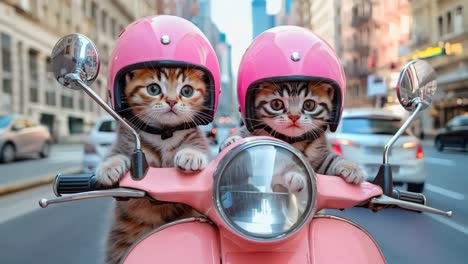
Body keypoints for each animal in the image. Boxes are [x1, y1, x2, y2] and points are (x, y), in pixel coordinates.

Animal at [221, 80, 368, 192]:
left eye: (308, 104)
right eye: (276, 104)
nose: (294, 116)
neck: (293, 141)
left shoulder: (320, 154)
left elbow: (332, 159)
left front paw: (352, 168)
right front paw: (231, 140)